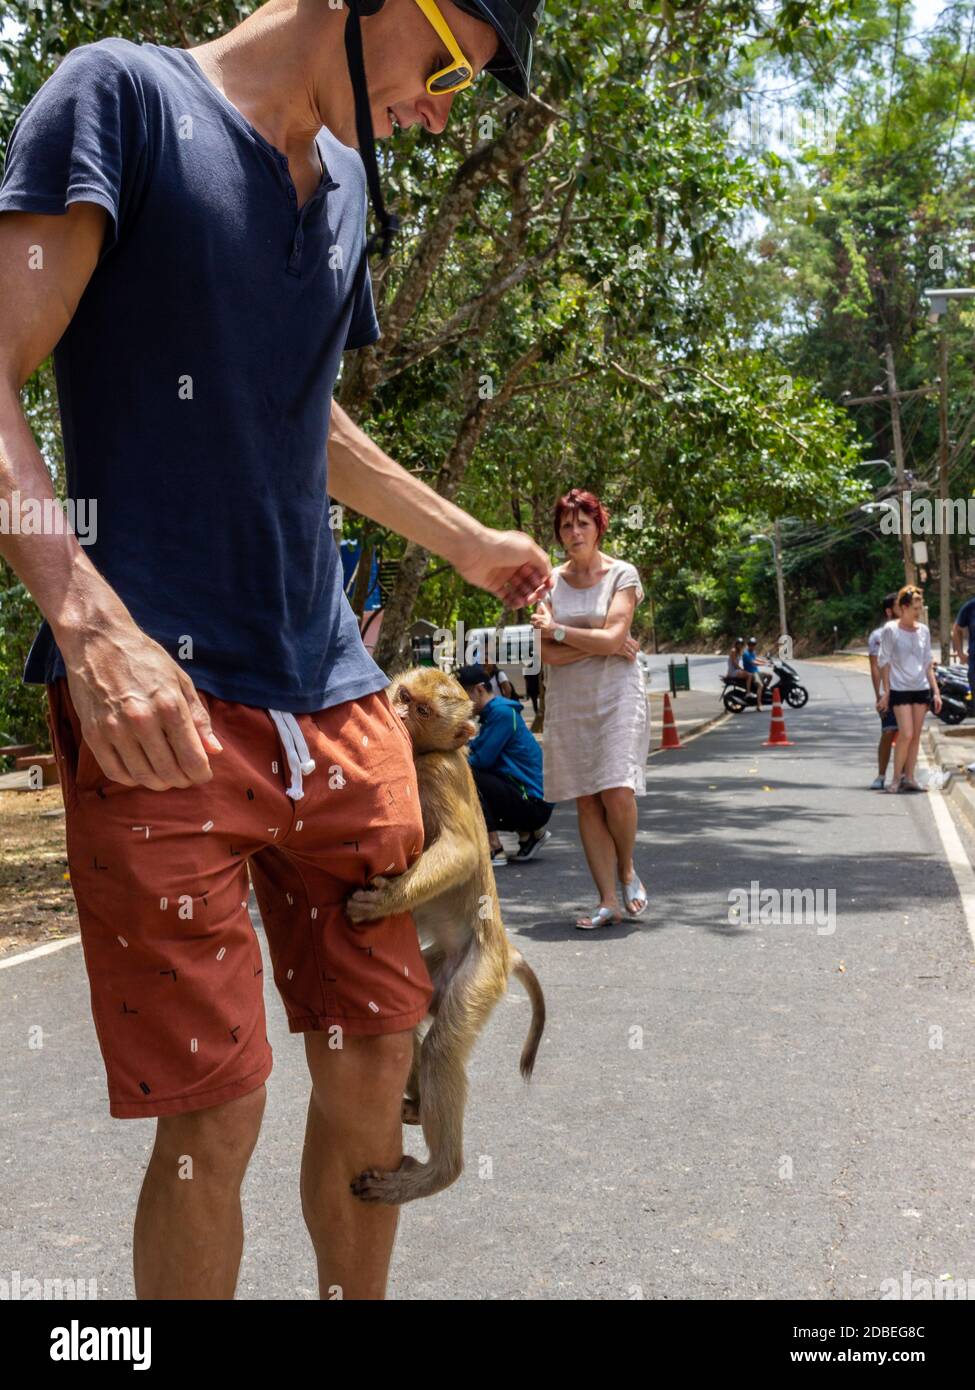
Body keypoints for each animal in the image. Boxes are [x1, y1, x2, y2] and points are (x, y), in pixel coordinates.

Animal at [343, 664, 545, 1206]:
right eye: (404, 694)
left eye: (423, 710)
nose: (397, 712)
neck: (422, 754)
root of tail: (503, 948)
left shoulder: (437, 774)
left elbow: (460, 851)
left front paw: (384, 902)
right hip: (440, 967)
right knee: (414, 1020)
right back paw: (414, 1104)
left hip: (478, 975)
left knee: (442, 1048)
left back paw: (439, 1172)